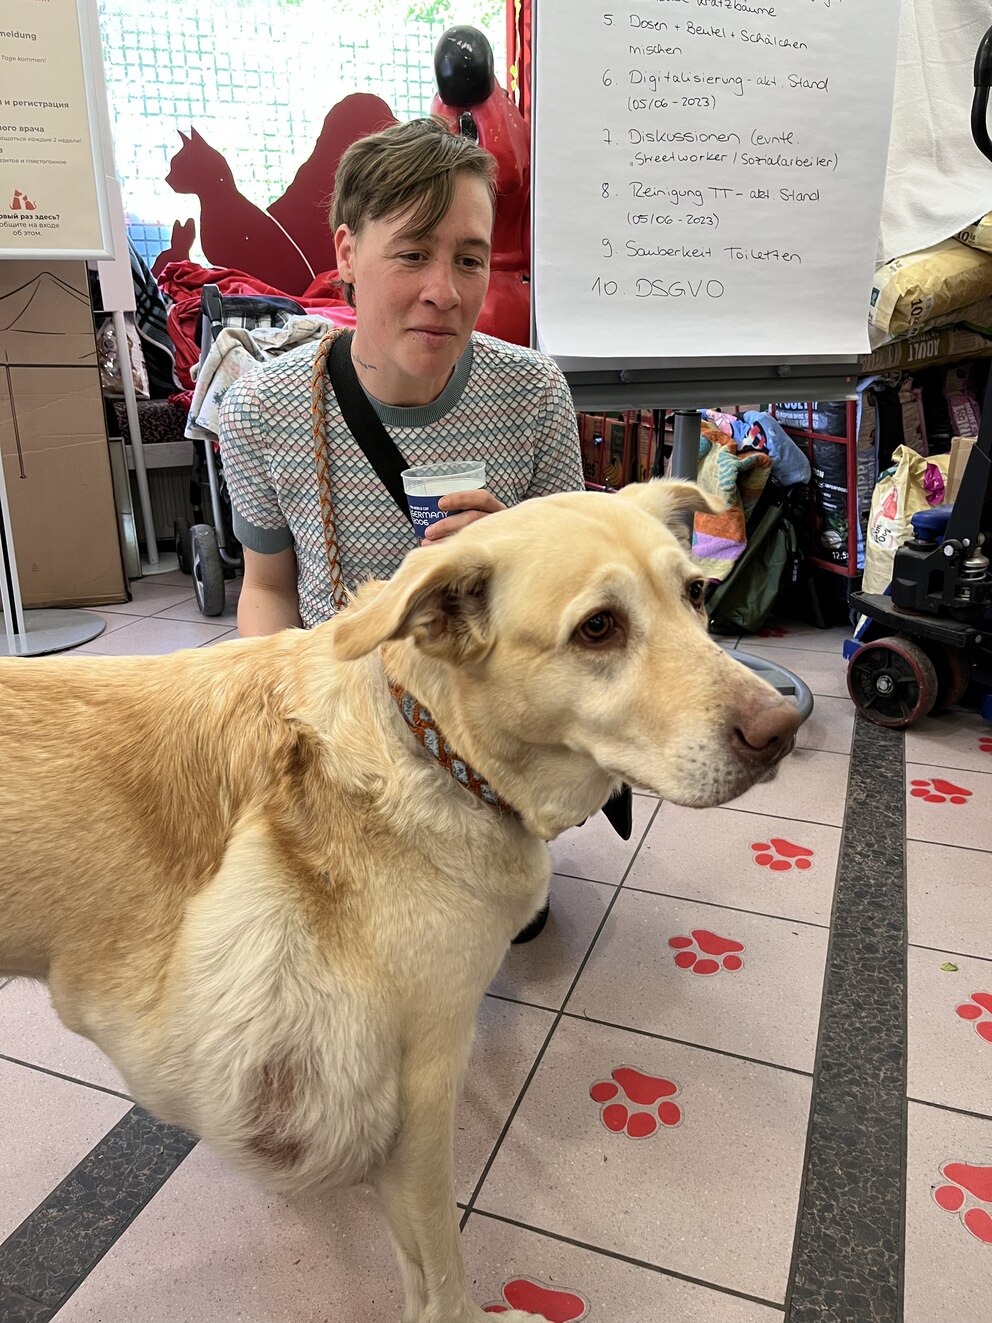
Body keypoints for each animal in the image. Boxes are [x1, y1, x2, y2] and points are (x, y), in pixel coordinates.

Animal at [0, 484, 798, 1323]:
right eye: (598, 627)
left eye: (696, 594)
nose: (783, 727)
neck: (432, 745)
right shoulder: (418, 1093)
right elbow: (441, 1269)